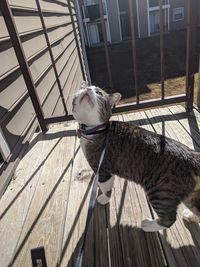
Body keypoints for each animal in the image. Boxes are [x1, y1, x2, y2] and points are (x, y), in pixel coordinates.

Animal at [72, 85, 200, 231]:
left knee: (169, 219)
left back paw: (149, 225)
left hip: (161, 192)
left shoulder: (102, 168)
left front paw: (104, 198)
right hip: (190, 195)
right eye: (82, 88)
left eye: (98, 92)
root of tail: (192, 156)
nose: (88, 88)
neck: (94, 130)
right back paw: (190, 216)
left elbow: (106, 186)